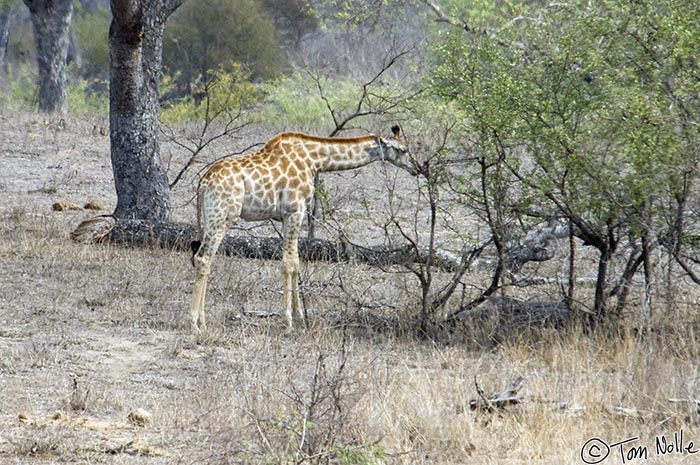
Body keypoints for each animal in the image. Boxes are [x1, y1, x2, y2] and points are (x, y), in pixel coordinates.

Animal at [190, 124, 416, 330]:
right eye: (403, 150)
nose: (416, 168)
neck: (314, 160)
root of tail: (204, 182)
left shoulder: (287, 216)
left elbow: (297, 263)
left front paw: (300, 318)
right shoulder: (295, 211)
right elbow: (289, 263)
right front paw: (289, 320)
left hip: (210, 217)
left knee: (204, 259)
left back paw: (203, 321)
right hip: (222, 216)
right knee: (203, 258)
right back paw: (195, 323)